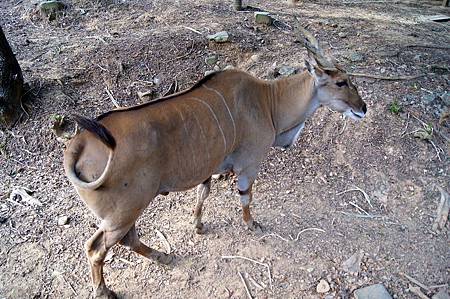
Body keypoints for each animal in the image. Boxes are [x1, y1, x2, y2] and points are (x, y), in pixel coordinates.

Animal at [62, 28, 366, 298]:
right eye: (341, 82)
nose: (363, 108)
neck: (268, 100)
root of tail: (80, 142)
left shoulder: (211, 167)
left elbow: (203, 193)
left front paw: (197, 225)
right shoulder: (249, 164)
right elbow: (245, 197)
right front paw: (251, 224)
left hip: (124, 212)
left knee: (128, 238)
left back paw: (163, 256)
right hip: (124, 212)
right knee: (96, 248)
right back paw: (103, 291)